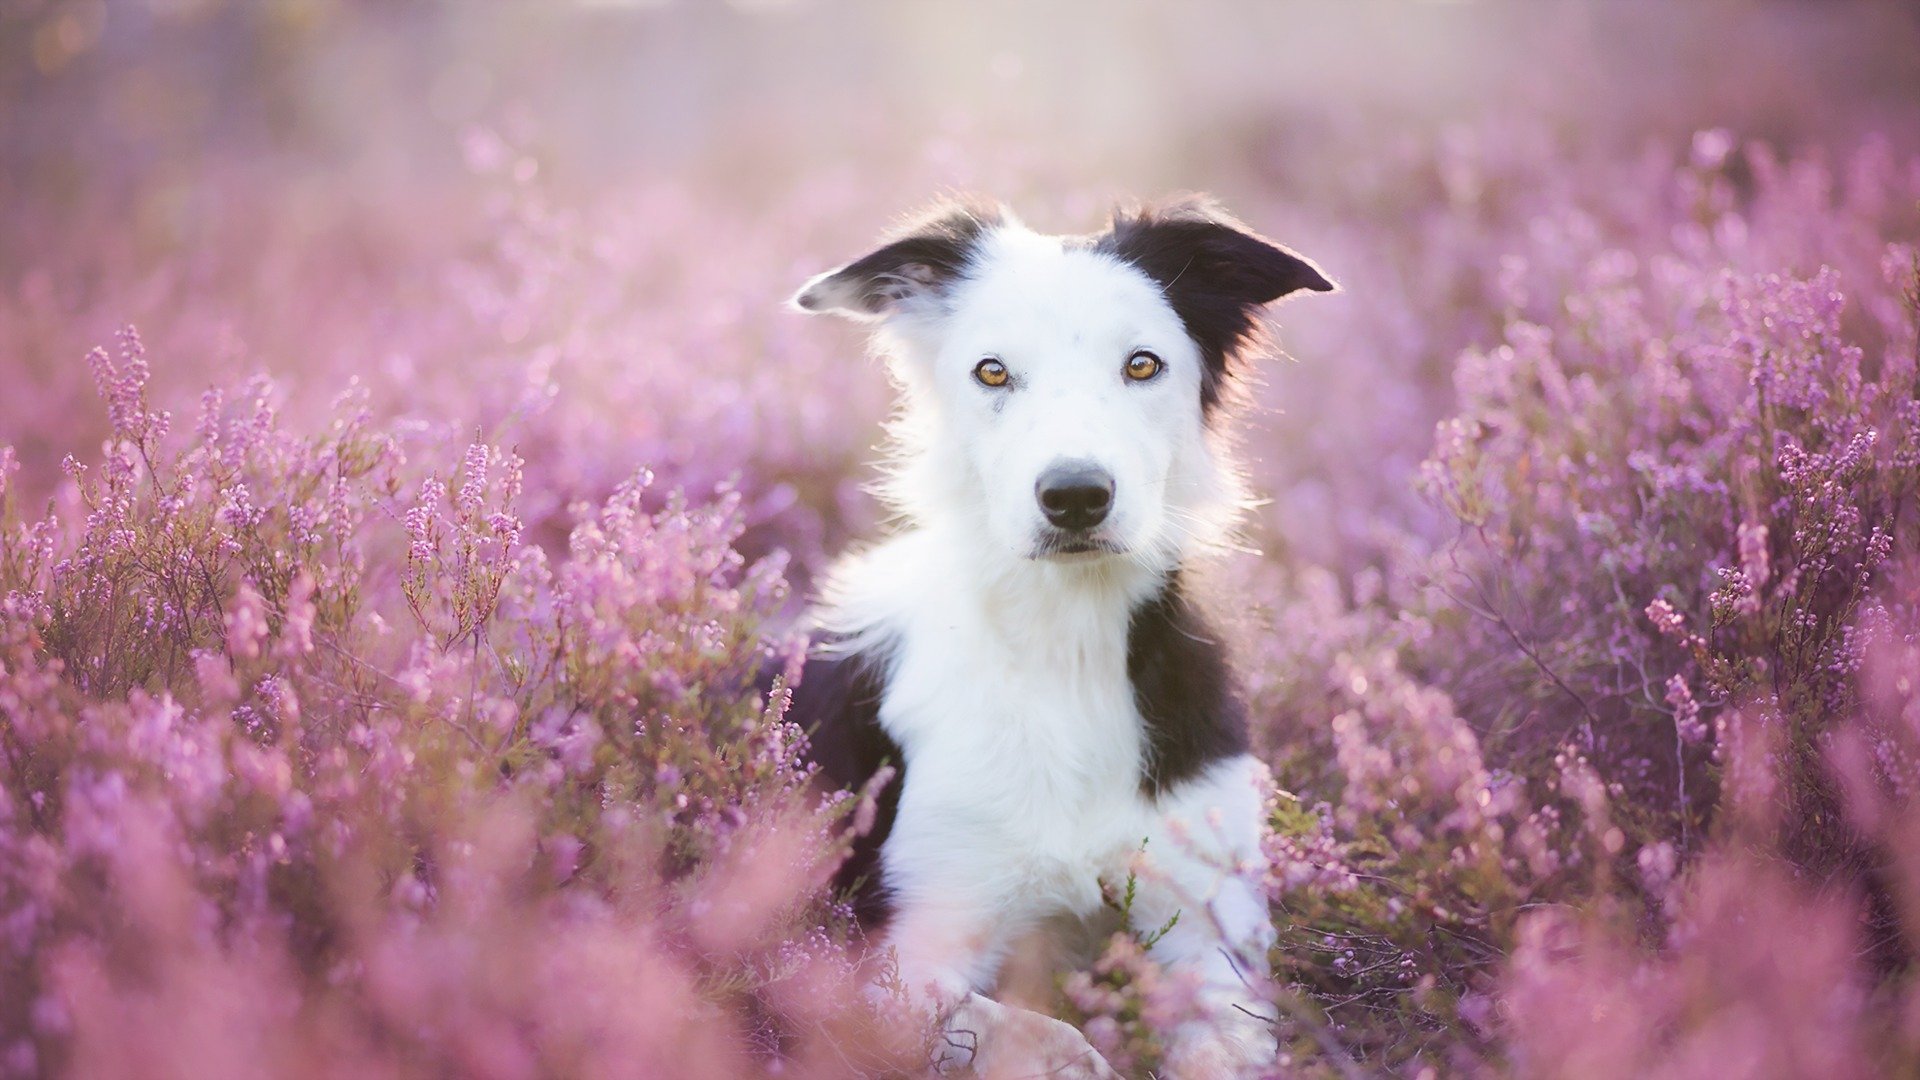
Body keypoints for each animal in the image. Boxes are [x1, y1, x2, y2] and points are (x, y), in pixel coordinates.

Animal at [787, 197, 1328, 1068]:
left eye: (1142, 365)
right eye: (992, 372)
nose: (1075, 496)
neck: (1064, 646)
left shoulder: (1216, 935)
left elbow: (1215, 1042)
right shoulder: (889, 958)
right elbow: (1032, 1031)